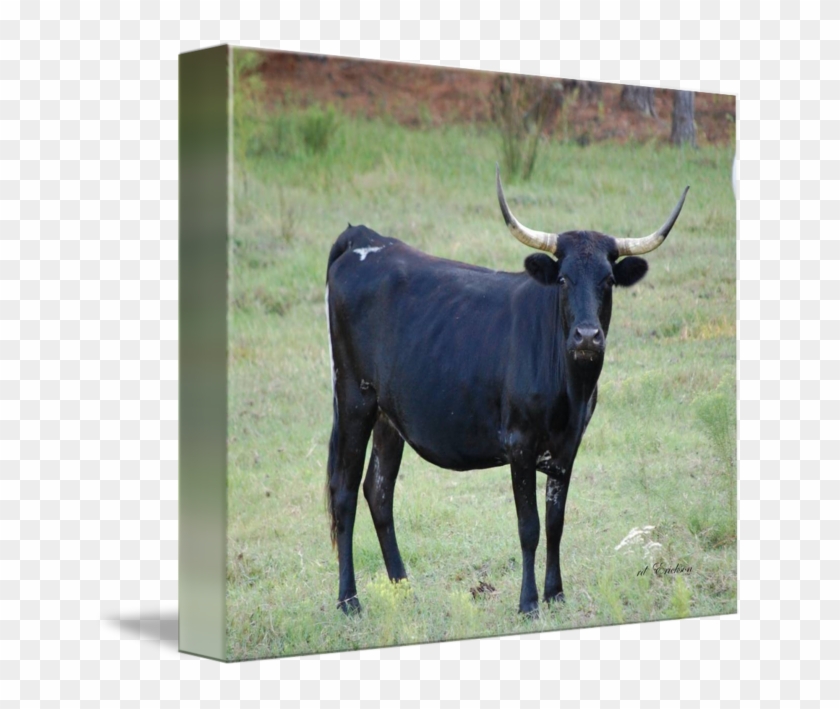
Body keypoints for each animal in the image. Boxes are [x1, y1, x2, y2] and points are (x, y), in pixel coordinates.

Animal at [325, 166, 688, 615]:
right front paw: (529, 602)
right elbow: (529, 526)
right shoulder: (520, 443)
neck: (571, 389)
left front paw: (556, 594)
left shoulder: (568, 447)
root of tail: (364, 237)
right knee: (343, 492)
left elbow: (556, 523)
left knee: (378, 490)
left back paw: (403, 589)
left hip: (388, 415)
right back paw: (349, 600)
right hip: (353, 398)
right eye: (563, 279)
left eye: (608, 281)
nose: (587, 336)